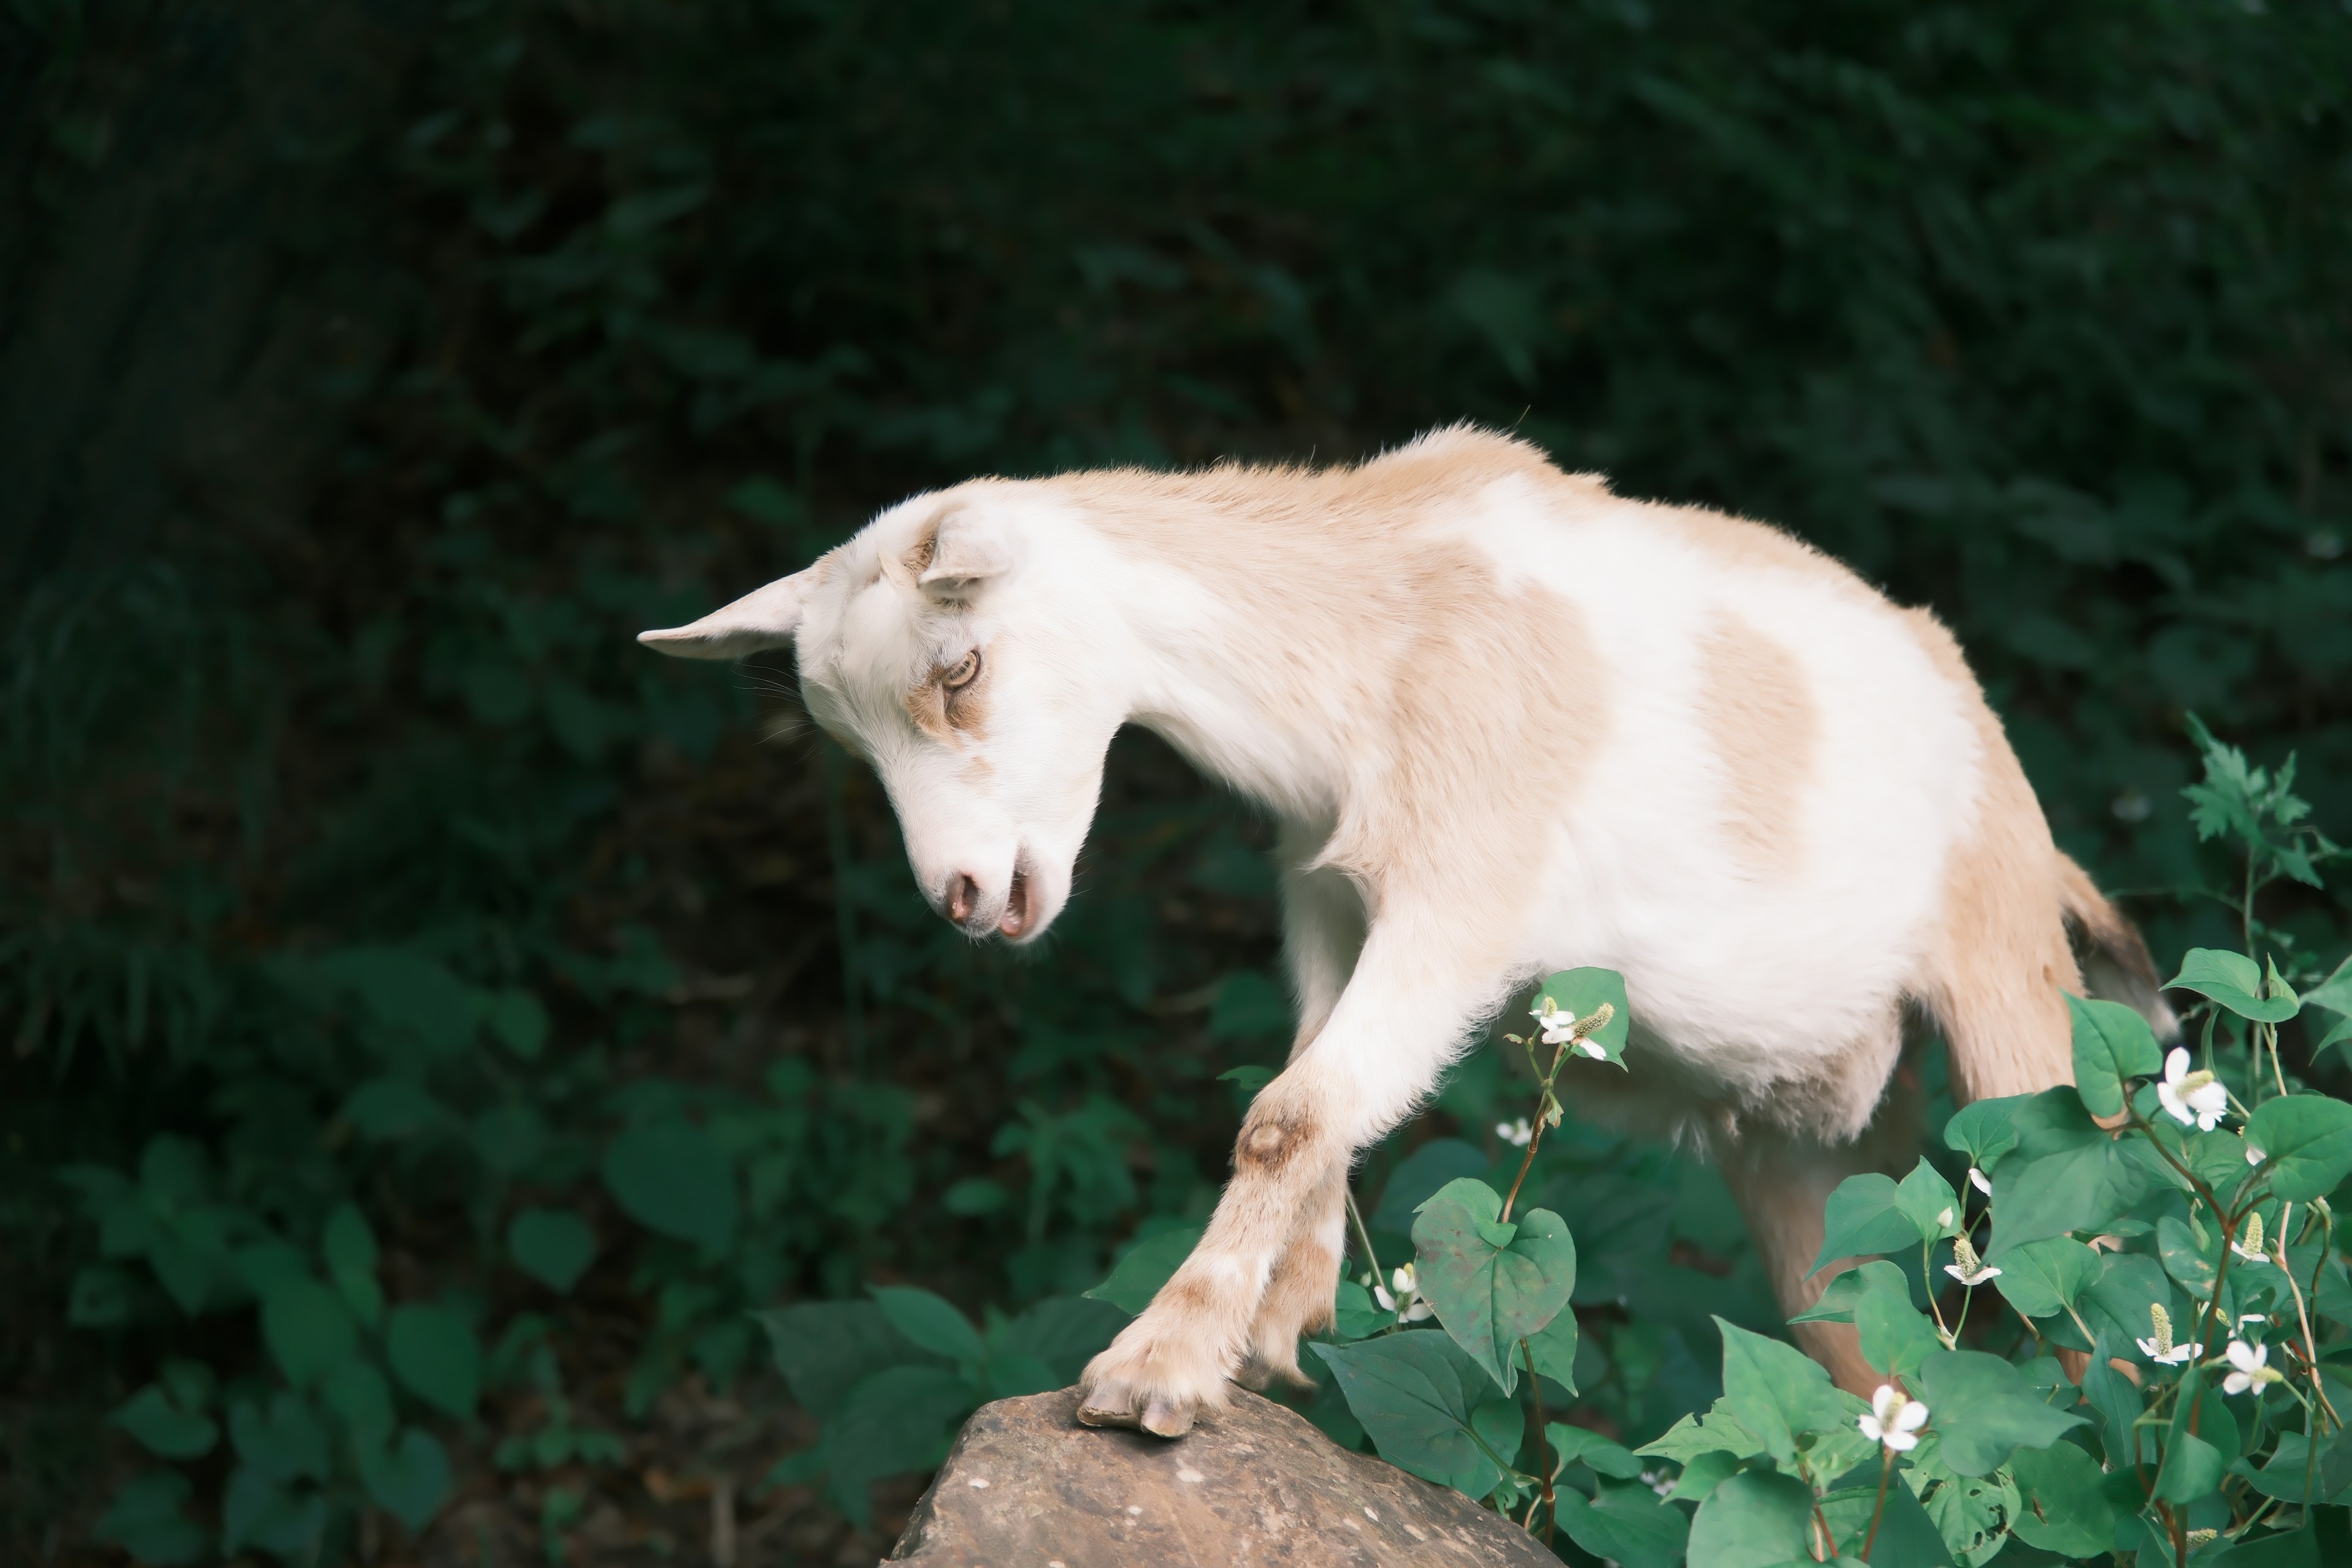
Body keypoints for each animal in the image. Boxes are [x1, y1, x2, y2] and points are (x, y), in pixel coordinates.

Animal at [639, 425, 2163, 1438]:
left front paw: (1157, 1367)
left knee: (2092, 1291)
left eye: (958, 668)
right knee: (1858, 1383)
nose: (964, 895)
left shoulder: (1467, 895)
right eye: (845, 735)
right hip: (1807, 1156)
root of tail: (2021, 799)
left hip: (2014, 1009)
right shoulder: (1325, 897)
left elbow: (1287, 1110)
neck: (1379, 638)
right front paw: (1284, 1325)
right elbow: (1317, 1099)